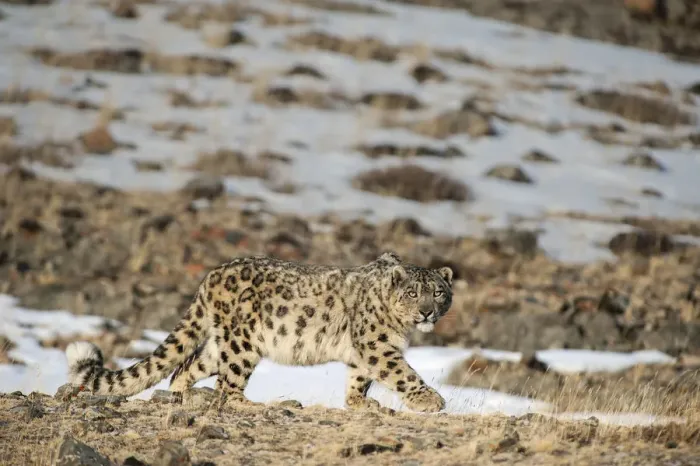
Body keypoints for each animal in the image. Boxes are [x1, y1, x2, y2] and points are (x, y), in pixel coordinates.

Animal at [66, 252, 454, 412]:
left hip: (221, 344)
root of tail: (211, 276)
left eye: (438, 292)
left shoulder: (365, 351)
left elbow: (360, 377)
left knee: (186, 366)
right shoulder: (377, 345)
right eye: (412, 294)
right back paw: (251, 403)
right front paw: (430, 401)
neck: (401, 329)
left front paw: (360, 403)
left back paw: (182, 397)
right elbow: (402, 373)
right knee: (227, 386)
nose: (426, 311)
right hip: (242, 344)